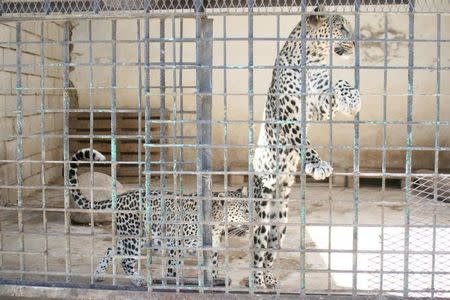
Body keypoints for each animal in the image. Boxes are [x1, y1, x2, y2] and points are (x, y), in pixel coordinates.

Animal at [69, 149, 250, 288]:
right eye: (245, 211)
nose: (253, 222)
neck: (216, 224)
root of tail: (121, 197)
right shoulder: (175, 245)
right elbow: (172, 269)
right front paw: (172, 283)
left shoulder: (211, 250)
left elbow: (212, 269)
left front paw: (214, 283)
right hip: (133, 239)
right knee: (126, 261)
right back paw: (139, 280)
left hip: (134, 237)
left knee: (111, 249)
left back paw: (98, 274)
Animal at [251, 6, 360, 288]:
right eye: (341, 27)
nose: (356, 42)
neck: (313, 59)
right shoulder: (290, 114)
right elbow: (302, 142)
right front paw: (317, 164)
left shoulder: (319, 102)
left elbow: (339, 83)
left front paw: (352, 99)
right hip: (262, 215)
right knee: (256, 250)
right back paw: (256, 281)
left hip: (281, 222)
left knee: (270, 253)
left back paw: (270, 279)